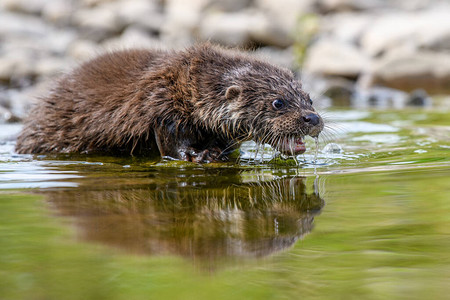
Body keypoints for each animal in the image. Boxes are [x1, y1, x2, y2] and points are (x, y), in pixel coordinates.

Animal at [14, 43, 324, 163]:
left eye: (309, 99)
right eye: (278, 103)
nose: (312, 118)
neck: (188, 88)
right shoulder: (163, 109)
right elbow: (174, 146)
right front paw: (203, 154)